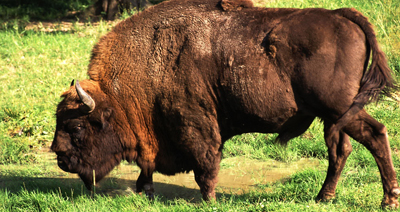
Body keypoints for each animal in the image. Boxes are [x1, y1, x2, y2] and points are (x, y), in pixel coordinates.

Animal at [51, 0, 398, 207]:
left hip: (342, 109)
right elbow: (147, 166)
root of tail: (341, 14)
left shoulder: (194, 124)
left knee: (376, 134)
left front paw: (209, 200)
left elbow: (206, 164)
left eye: (76, 126)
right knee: (341, 150)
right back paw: (323, 198)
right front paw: (145, 191)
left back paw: (388, 200)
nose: (59, 156)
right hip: (332, 117)